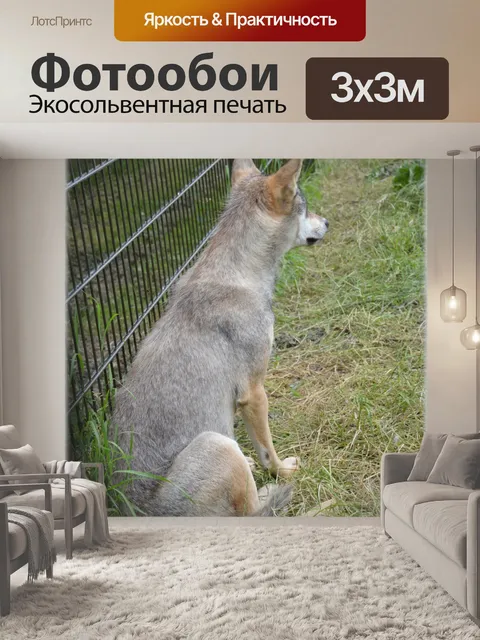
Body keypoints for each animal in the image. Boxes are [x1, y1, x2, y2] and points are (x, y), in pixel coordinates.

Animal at [113, 159, 329, 516]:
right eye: (306, 206)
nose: (327, 222)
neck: (238, 274)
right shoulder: (253, 392)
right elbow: (268, 451)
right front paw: (282, 471)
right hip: (219, 445)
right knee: (253, 513)